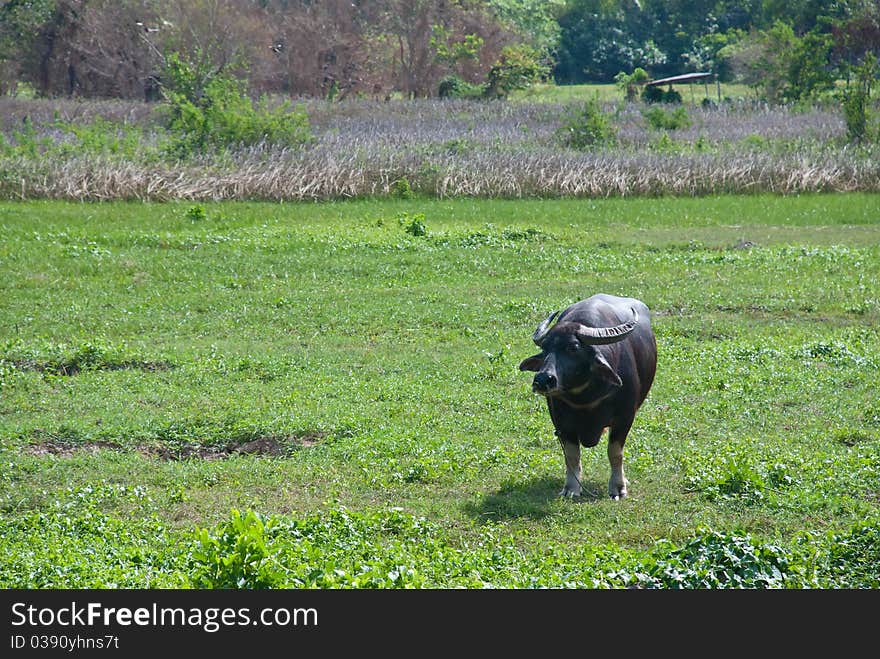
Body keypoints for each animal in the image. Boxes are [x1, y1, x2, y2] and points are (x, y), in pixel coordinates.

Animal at [520, 294, 656, 500]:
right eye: (545, 348)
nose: (543, 380)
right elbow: (571, 455)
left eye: (573, 347)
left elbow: (615, 453)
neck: (584, 398)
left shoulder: (625, 419)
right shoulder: (561, 423)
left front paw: (618, 487)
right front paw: (571, 488)